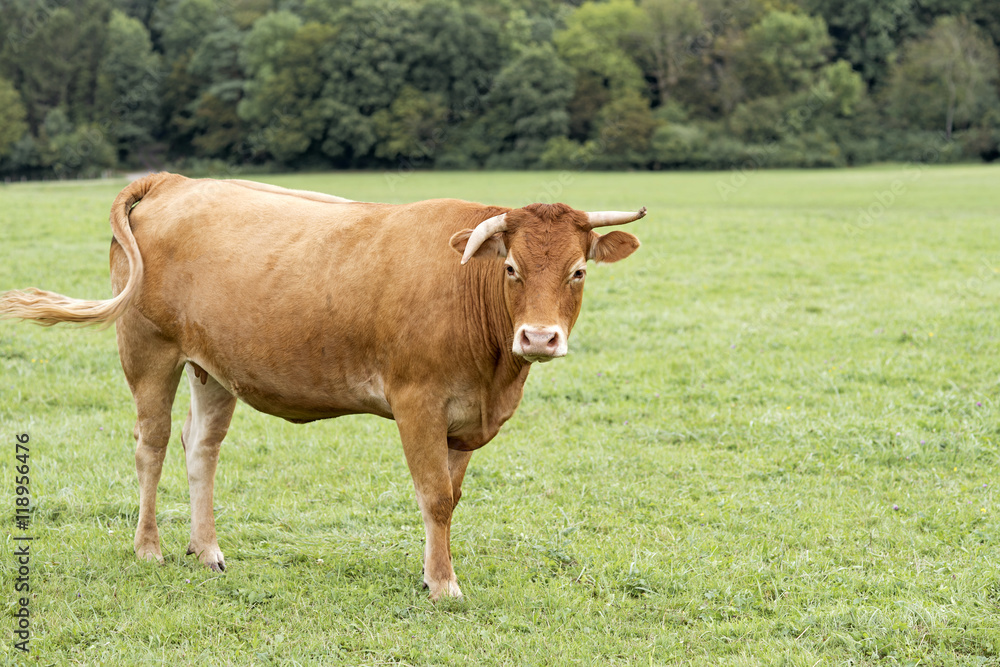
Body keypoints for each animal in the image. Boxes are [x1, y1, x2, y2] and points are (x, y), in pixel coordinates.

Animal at [0, 172, 640, 600]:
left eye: (578, 271)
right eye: (511, 268)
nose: (539, 337)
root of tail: (174, 181)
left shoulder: (463, 421)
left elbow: (450, 498)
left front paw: (432, 572)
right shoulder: (418, 401)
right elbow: (433, 495)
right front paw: (443, 586)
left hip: (213, 368)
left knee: (200, 447)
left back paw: (207, 551)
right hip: (148, 349)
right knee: (150, 445)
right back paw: (149, 548)